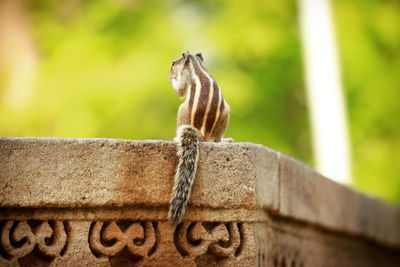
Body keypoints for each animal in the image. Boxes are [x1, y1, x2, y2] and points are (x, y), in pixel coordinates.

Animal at [167, 51, 230, 225]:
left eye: (174, 63)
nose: (169, 71)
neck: (197, 66)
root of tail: (201, 133)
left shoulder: (185, 79)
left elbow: (180, 90)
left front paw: (172, 79)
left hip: (182, 111)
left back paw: (175, 138)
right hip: (226, 113)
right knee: (217, 140)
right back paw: (225, 140)